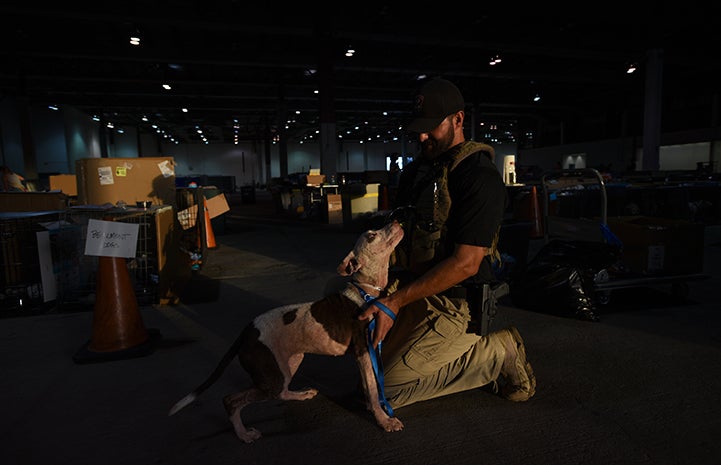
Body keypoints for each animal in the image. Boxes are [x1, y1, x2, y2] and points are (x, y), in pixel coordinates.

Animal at [168, 219, 404, 440]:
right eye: (371, 235)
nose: (395, 220)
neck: (367, 291)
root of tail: (246, 331)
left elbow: (369, 386)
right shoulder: (363, 353)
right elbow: (372, 388)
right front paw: (384, 420)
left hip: (288, 363)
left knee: (281, 393)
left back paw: (301, 395)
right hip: (271, 378)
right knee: (231, 400)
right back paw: (244, 434)